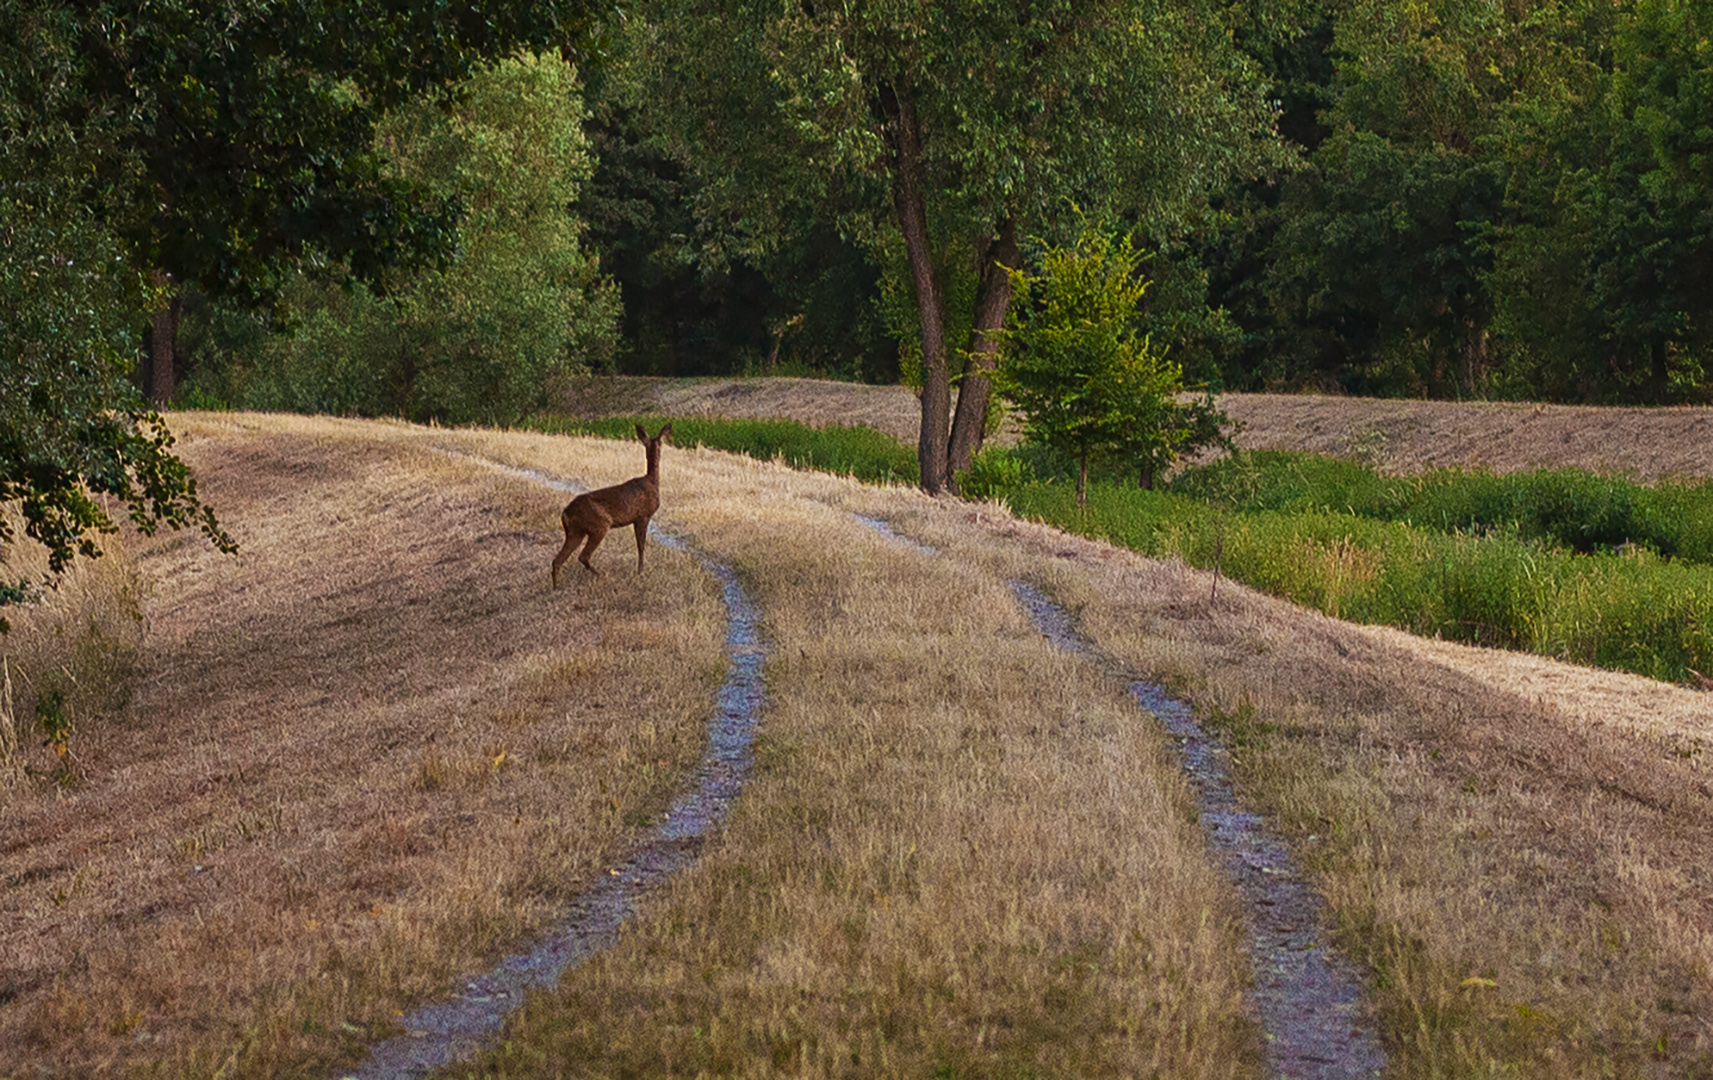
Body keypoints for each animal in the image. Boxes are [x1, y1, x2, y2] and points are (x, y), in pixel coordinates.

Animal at [555, 426, 674, 589]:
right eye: (661, 443)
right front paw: (640, 572)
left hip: (575, 531)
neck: (652, 481)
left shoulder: (636, 519)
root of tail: (565, 514)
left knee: (557, 560)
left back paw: (556, 587)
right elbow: (641, 546)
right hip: (600, 525)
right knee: (583, 556)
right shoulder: (643, 516)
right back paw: (601, 575)